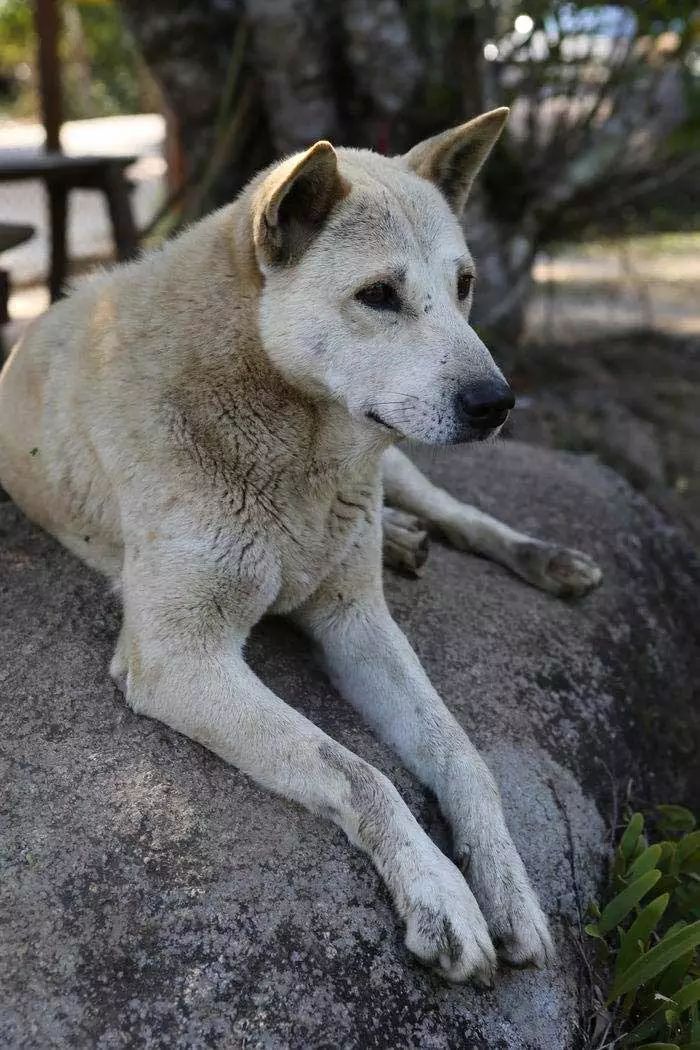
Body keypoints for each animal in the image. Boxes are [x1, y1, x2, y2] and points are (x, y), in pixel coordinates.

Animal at [0, 110, 604, 986]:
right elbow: (360, 771)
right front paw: (441, 896)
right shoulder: (180, 658)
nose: (498, 404)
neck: (293, 452)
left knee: (458, 512)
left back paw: (531, 557)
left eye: (464, 285)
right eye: (379, 296)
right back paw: (407, 542)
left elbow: (462, 755)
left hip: (402, 460)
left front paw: (506, 885)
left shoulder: (357, 622)